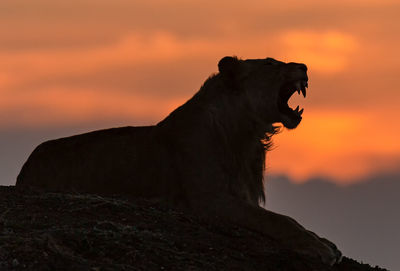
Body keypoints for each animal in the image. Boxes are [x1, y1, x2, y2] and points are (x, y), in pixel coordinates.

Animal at [15, 56, 340, 266]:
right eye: (271, 64)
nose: (304, 66)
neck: (246, 136)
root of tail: (24, 168)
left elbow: (290, 220)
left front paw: (324, 242)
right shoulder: (210, 200)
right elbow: (277, 220)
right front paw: (318, 248)